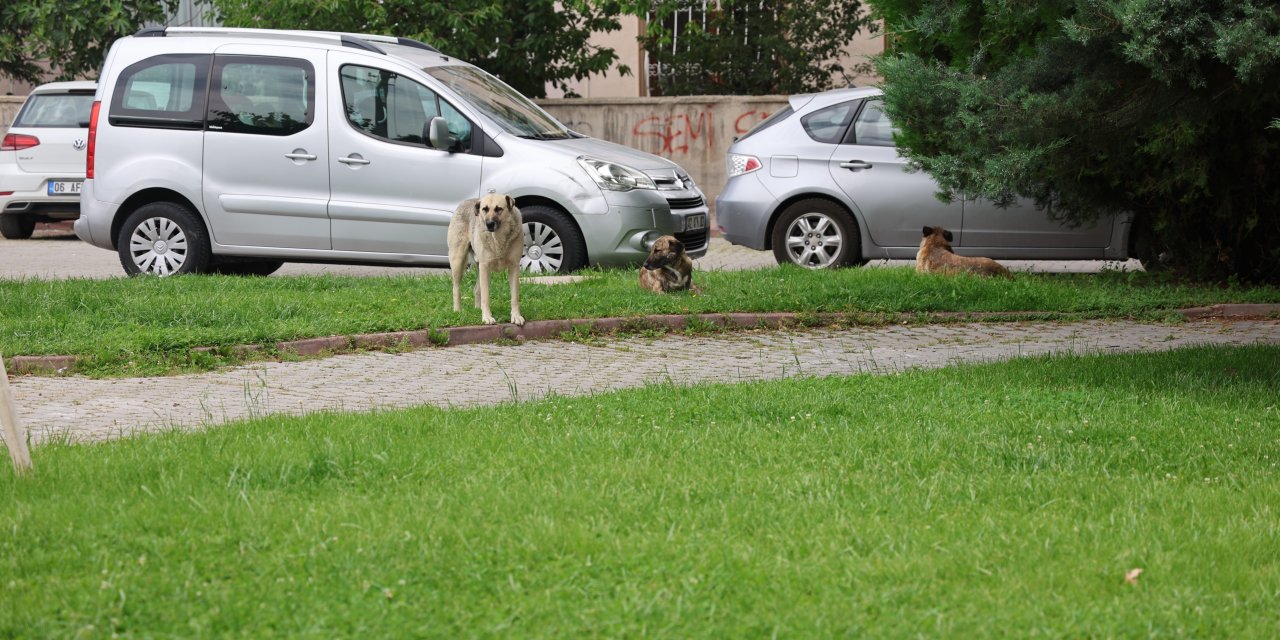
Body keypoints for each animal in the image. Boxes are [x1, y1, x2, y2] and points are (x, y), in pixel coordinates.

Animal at [445, 192, 524, 325]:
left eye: (499, 209)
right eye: (484, 209)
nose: (489, 224)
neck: (498, 238)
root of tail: (464, 202)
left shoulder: (514, 266)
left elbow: (514, 297)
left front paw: (516, 316)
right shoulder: (485, 266)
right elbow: (486, 296)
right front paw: (487, 317)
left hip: (480, 269)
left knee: (477, 289)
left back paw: (477, 309)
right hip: (458, 260)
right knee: (456, 288)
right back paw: (457, 310)